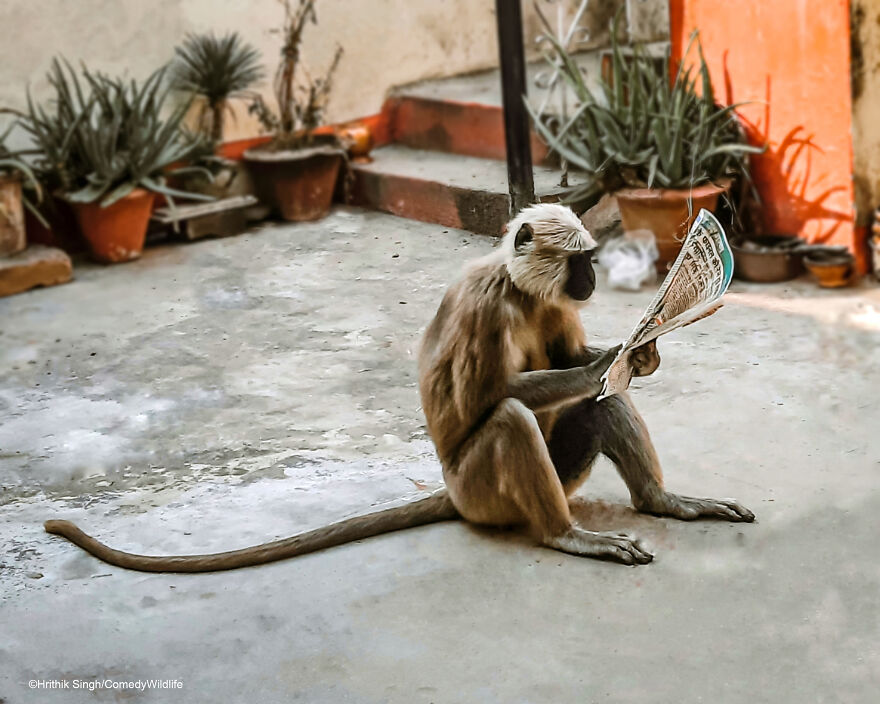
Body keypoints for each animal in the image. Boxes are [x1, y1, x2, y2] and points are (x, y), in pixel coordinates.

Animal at [44, 203, 752, 573]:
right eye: (581, 262)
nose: (592, 281)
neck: (518, 291)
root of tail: (454, 496)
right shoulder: (484, 306)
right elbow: (496, 397)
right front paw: (606, 360)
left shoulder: (549, 306)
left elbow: (591, 373)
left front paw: (642, 352)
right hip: (484, 492)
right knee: (511, 419)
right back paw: (564, 534)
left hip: (560, 472)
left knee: (604, 407)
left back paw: (664, 501)